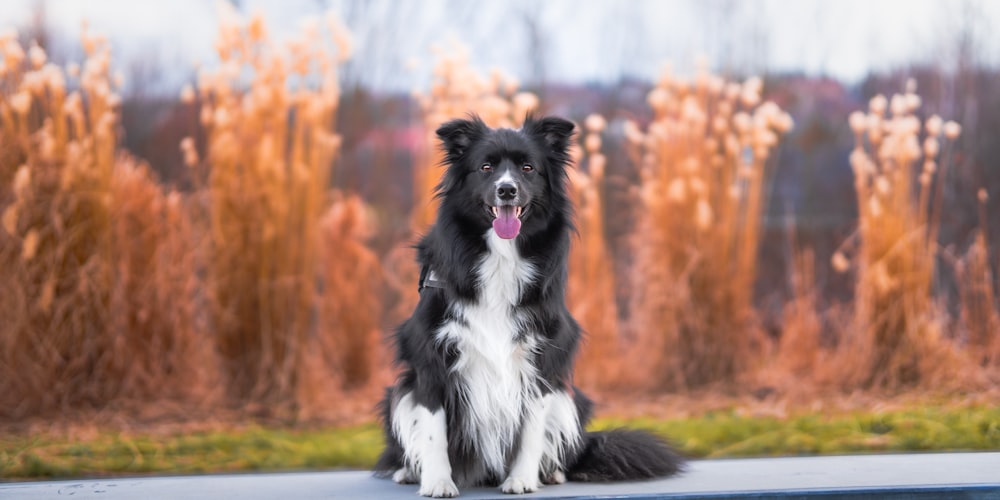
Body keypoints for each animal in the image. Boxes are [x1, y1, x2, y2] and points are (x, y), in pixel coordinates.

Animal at [376, 116, 688, 496]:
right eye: (485, 167)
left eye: (528, 168)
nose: (507, 190)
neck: (501, 257)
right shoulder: (431, 360)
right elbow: (433, 431)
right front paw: (437, 482)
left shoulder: (539, 361)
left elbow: (531, 432)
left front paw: (522, 480)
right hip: (398, 391)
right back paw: (409, 471)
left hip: (569, 397)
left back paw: (550, 473)